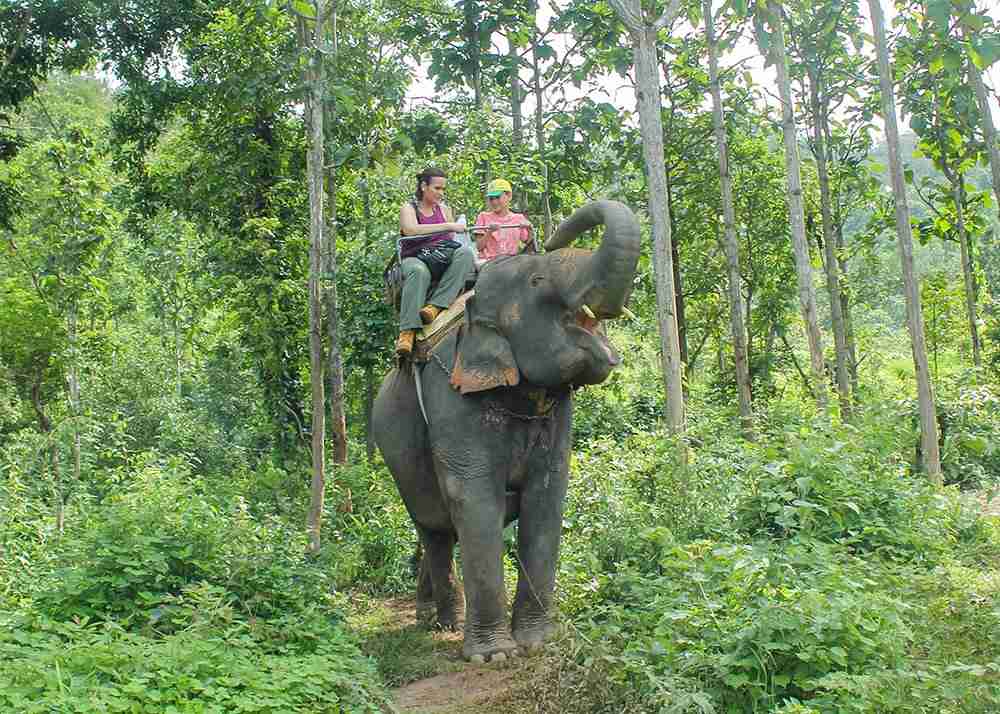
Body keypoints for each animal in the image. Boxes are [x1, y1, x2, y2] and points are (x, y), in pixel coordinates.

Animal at [372, 200, 640, 663]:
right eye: (537, 280)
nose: (550, 237)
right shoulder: (453, 398)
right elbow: (475, 499)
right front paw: (494, 655)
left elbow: (547, 498)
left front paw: (537, 642)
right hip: (398, 456)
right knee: (434, 528)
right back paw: (443, 623)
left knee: (441, 531)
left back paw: (432, 615)